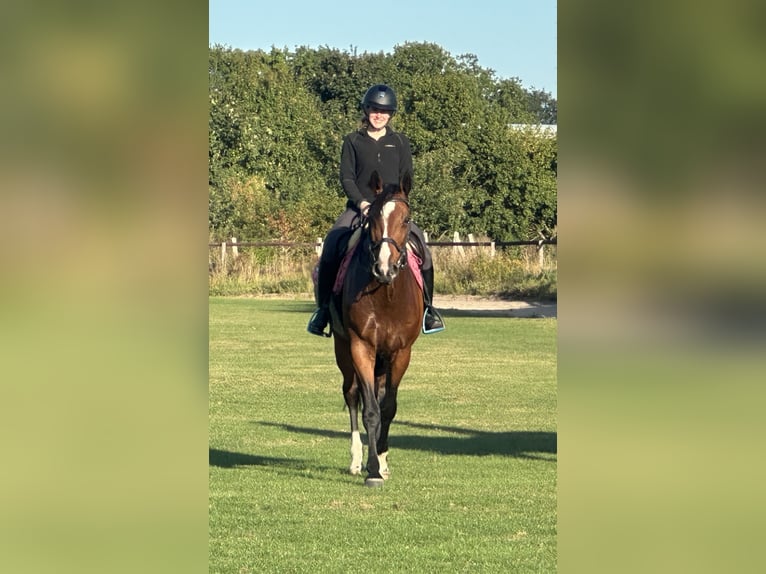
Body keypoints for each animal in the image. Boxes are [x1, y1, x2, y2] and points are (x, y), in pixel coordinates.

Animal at [328, 170, 424, 487]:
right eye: (372, 219)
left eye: (406, 219)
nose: (384, 267)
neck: (386, 294)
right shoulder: (361, 347)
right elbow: (369, 410)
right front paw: (372, 470)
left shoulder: (401, 352)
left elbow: (388, 408)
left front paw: (381, 459)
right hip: (344, 351)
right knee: (352, 394)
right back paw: (356, 460)